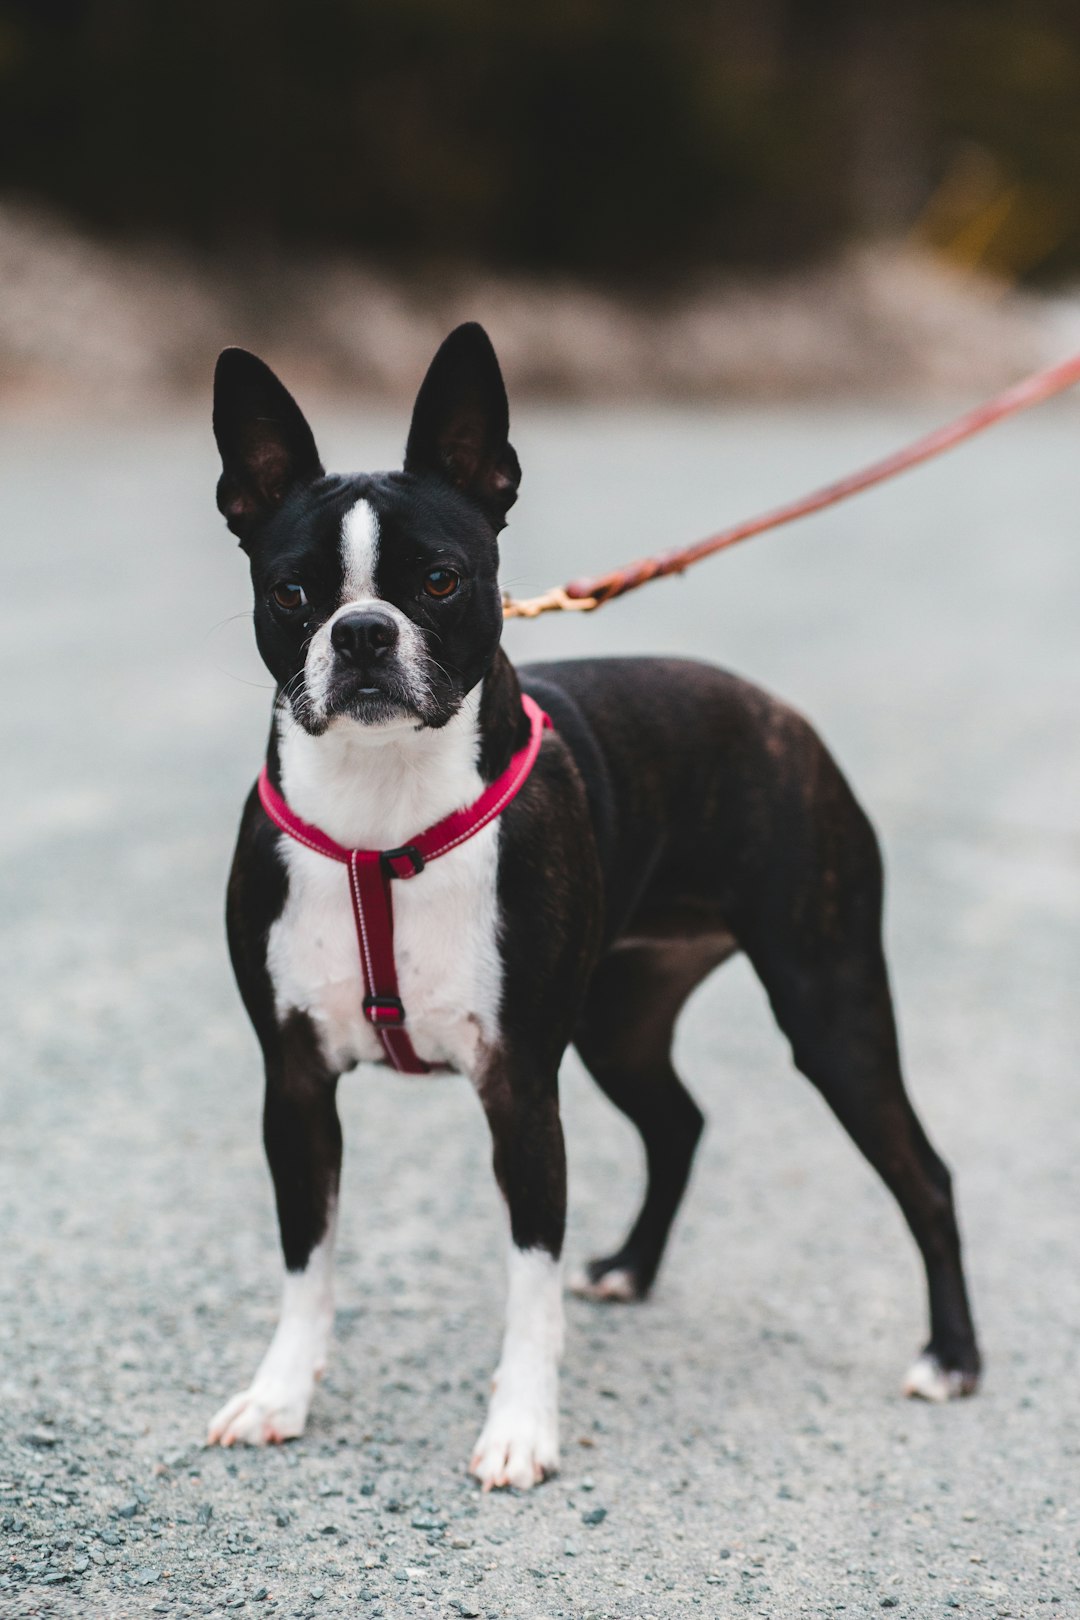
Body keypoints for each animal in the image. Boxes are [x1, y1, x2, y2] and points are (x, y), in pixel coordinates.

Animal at [207, 322, 984, 1483]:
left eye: (441, 580)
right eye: (293, 593)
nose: (362, 634)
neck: (384, 814)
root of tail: (783, 714)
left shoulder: (521, 1087)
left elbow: (528, 1281)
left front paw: (519, 1429)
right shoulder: (294, 1085)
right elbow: (308, 1262)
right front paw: (278, 1393)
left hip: (829, 1004)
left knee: (924, 1174)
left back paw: (951, 1358)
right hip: (623, 1020)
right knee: (680, 1121)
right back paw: (629, 1266)